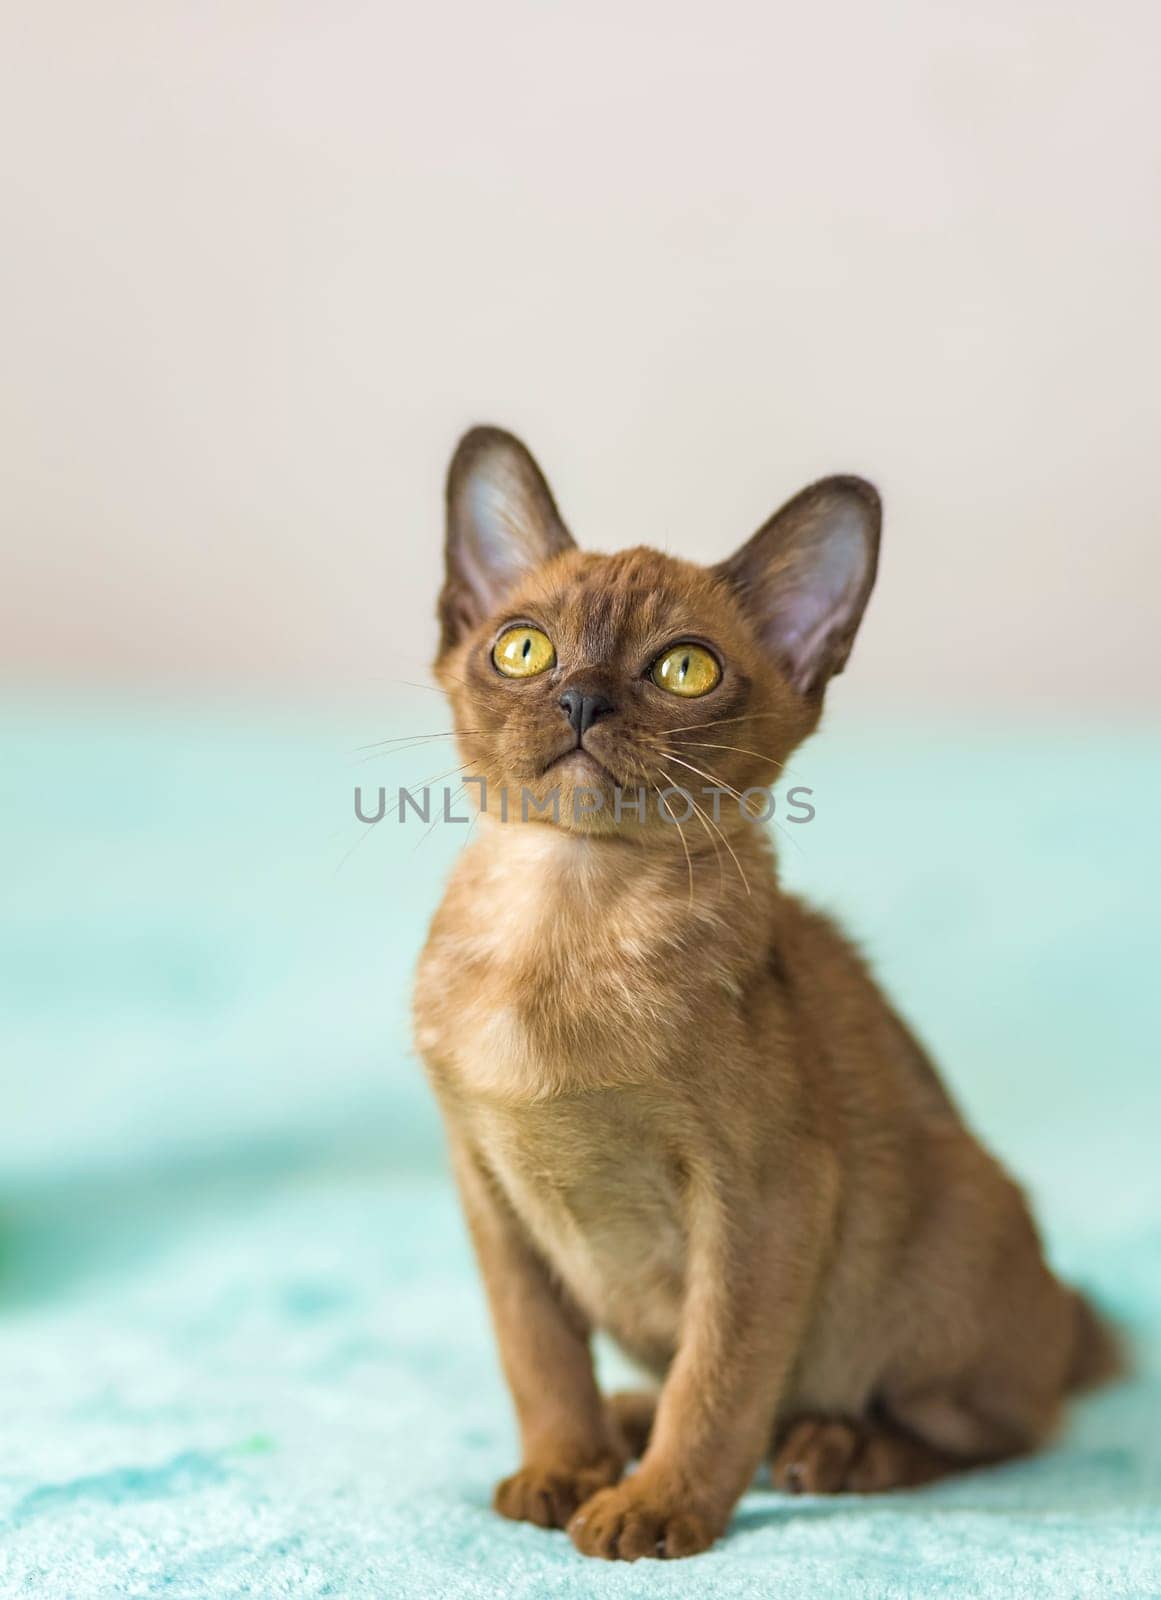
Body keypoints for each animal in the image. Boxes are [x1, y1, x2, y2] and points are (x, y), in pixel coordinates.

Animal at [412, 425, 1125, 1561]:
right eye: (523, 649)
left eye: (683, 668)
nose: (582, 700)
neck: (567, 917)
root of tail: (1068, 1319)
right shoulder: (489, 1195)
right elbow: (540, 1362)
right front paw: (565, 1470)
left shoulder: (760, 1205)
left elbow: (719, 1377)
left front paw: (660, 1509)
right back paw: (627, 1424)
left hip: (949, 1235)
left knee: (997, 1425)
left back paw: (833, 1449)